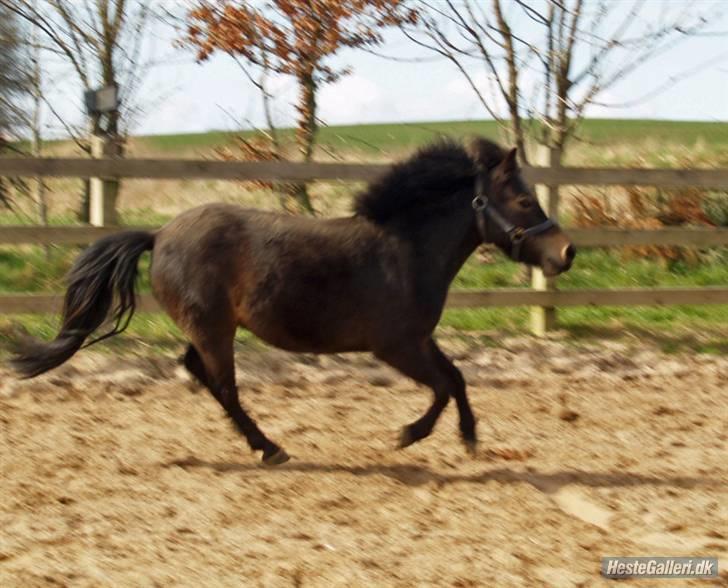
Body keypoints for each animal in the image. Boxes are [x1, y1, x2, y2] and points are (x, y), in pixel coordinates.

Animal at [11, 138, 576, 464]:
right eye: (524, 200)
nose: (566, 253)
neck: (406, 249)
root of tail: (160, 234)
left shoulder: (419, 339)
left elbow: (456, 378)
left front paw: (470, 438)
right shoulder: (395, 346)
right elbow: (440, 386)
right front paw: (408, 435)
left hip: (209, 328)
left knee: (198, 371)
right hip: (215, 328)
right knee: (223, 384)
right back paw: (270, 449)